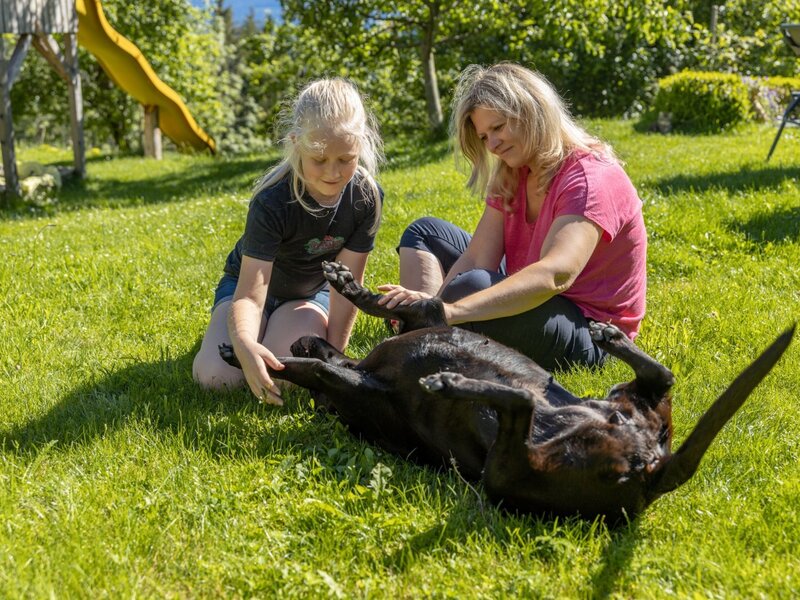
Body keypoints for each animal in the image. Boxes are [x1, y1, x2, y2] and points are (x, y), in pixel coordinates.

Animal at [220, 261, 794, 521]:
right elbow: (314, 371)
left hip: (535, 457)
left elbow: (384, 310)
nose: (299, 340)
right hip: (516, 469)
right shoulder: (359, 386)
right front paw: (256, 356)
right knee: (528, 409)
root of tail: (651, 464)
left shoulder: (426, 316)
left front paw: (343, 285)